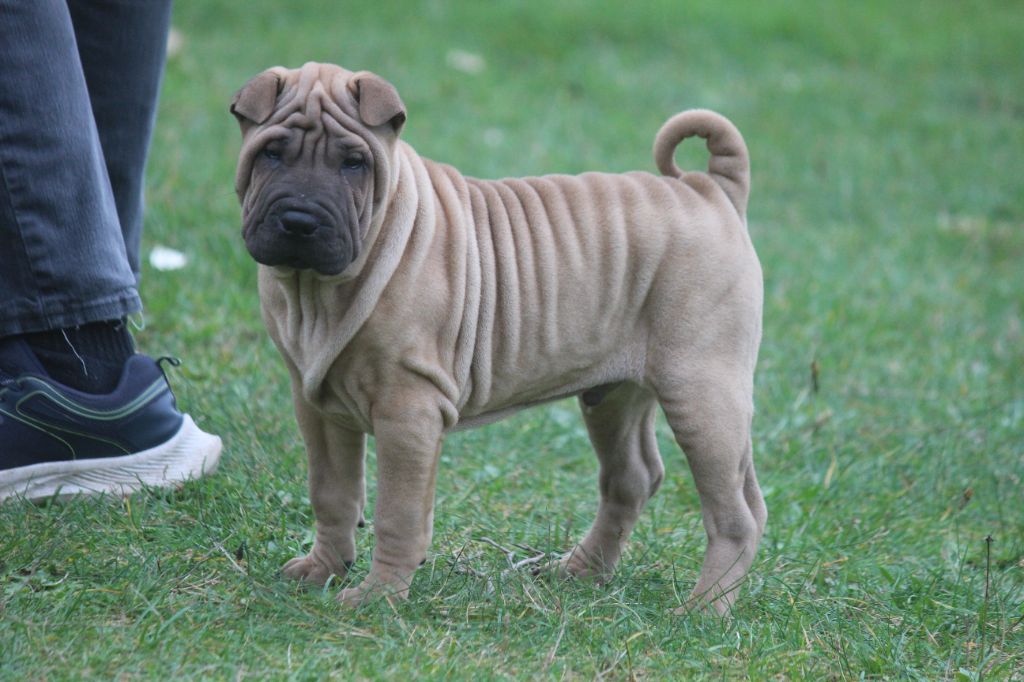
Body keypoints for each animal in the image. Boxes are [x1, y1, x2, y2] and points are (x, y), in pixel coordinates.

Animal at [228, 63, 765, 614]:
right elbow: (331, 493)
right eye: (271, 154)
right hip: (617, 394)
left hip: (701, 391)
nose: (300, 221)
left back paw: (703, 608)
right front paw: (323, 570)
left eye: (353, 163)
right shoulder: (316, 404)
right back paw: (579, 571)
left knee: (736, 513)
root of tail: (710, 188)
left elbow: (397, 514)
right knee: (636, 479)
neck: (318, 291)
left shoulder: (408, 412)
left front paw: (379, 597)